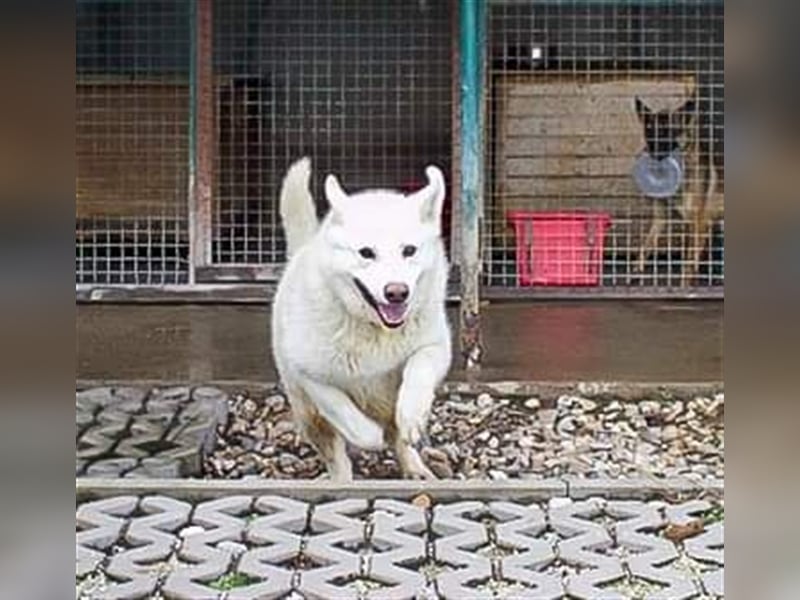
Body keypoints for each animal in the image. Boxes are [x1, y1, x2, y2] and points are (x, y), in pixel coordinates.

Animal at [272, 157, 454, 480]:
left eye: (409, 250)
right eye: (366, 253)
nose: (397, 293)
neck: (376, 330)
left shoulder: (436, 348)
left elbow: (418, 367)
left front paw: (411, 414)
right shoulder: (310, 377)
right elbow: (350, 419)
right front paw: (369, 435)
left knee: (400, 440)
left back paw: (415, 468)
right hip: (310, 417)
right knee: (337, 456)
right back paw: (344, 479)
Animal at [636, 95, 720, 286]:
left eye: (666, 131)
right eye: (649, 130)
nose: (650, 154)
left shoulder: (699, 225)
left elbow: (688, 266)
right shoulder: (660, 219)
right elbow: (645, 245)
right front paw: (635, 271)